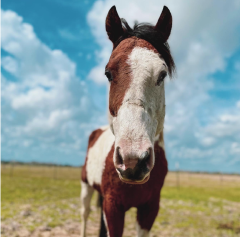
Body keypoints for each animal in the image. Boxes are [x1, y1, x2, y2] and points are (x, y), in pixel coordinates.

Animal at [80, 5, 174, 237]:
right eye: (108, 73)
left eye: (162, 75)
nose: (133, 160)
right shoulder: (113, 206)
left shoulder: (149, 209)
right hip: (86, 186)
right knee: (84, 214)